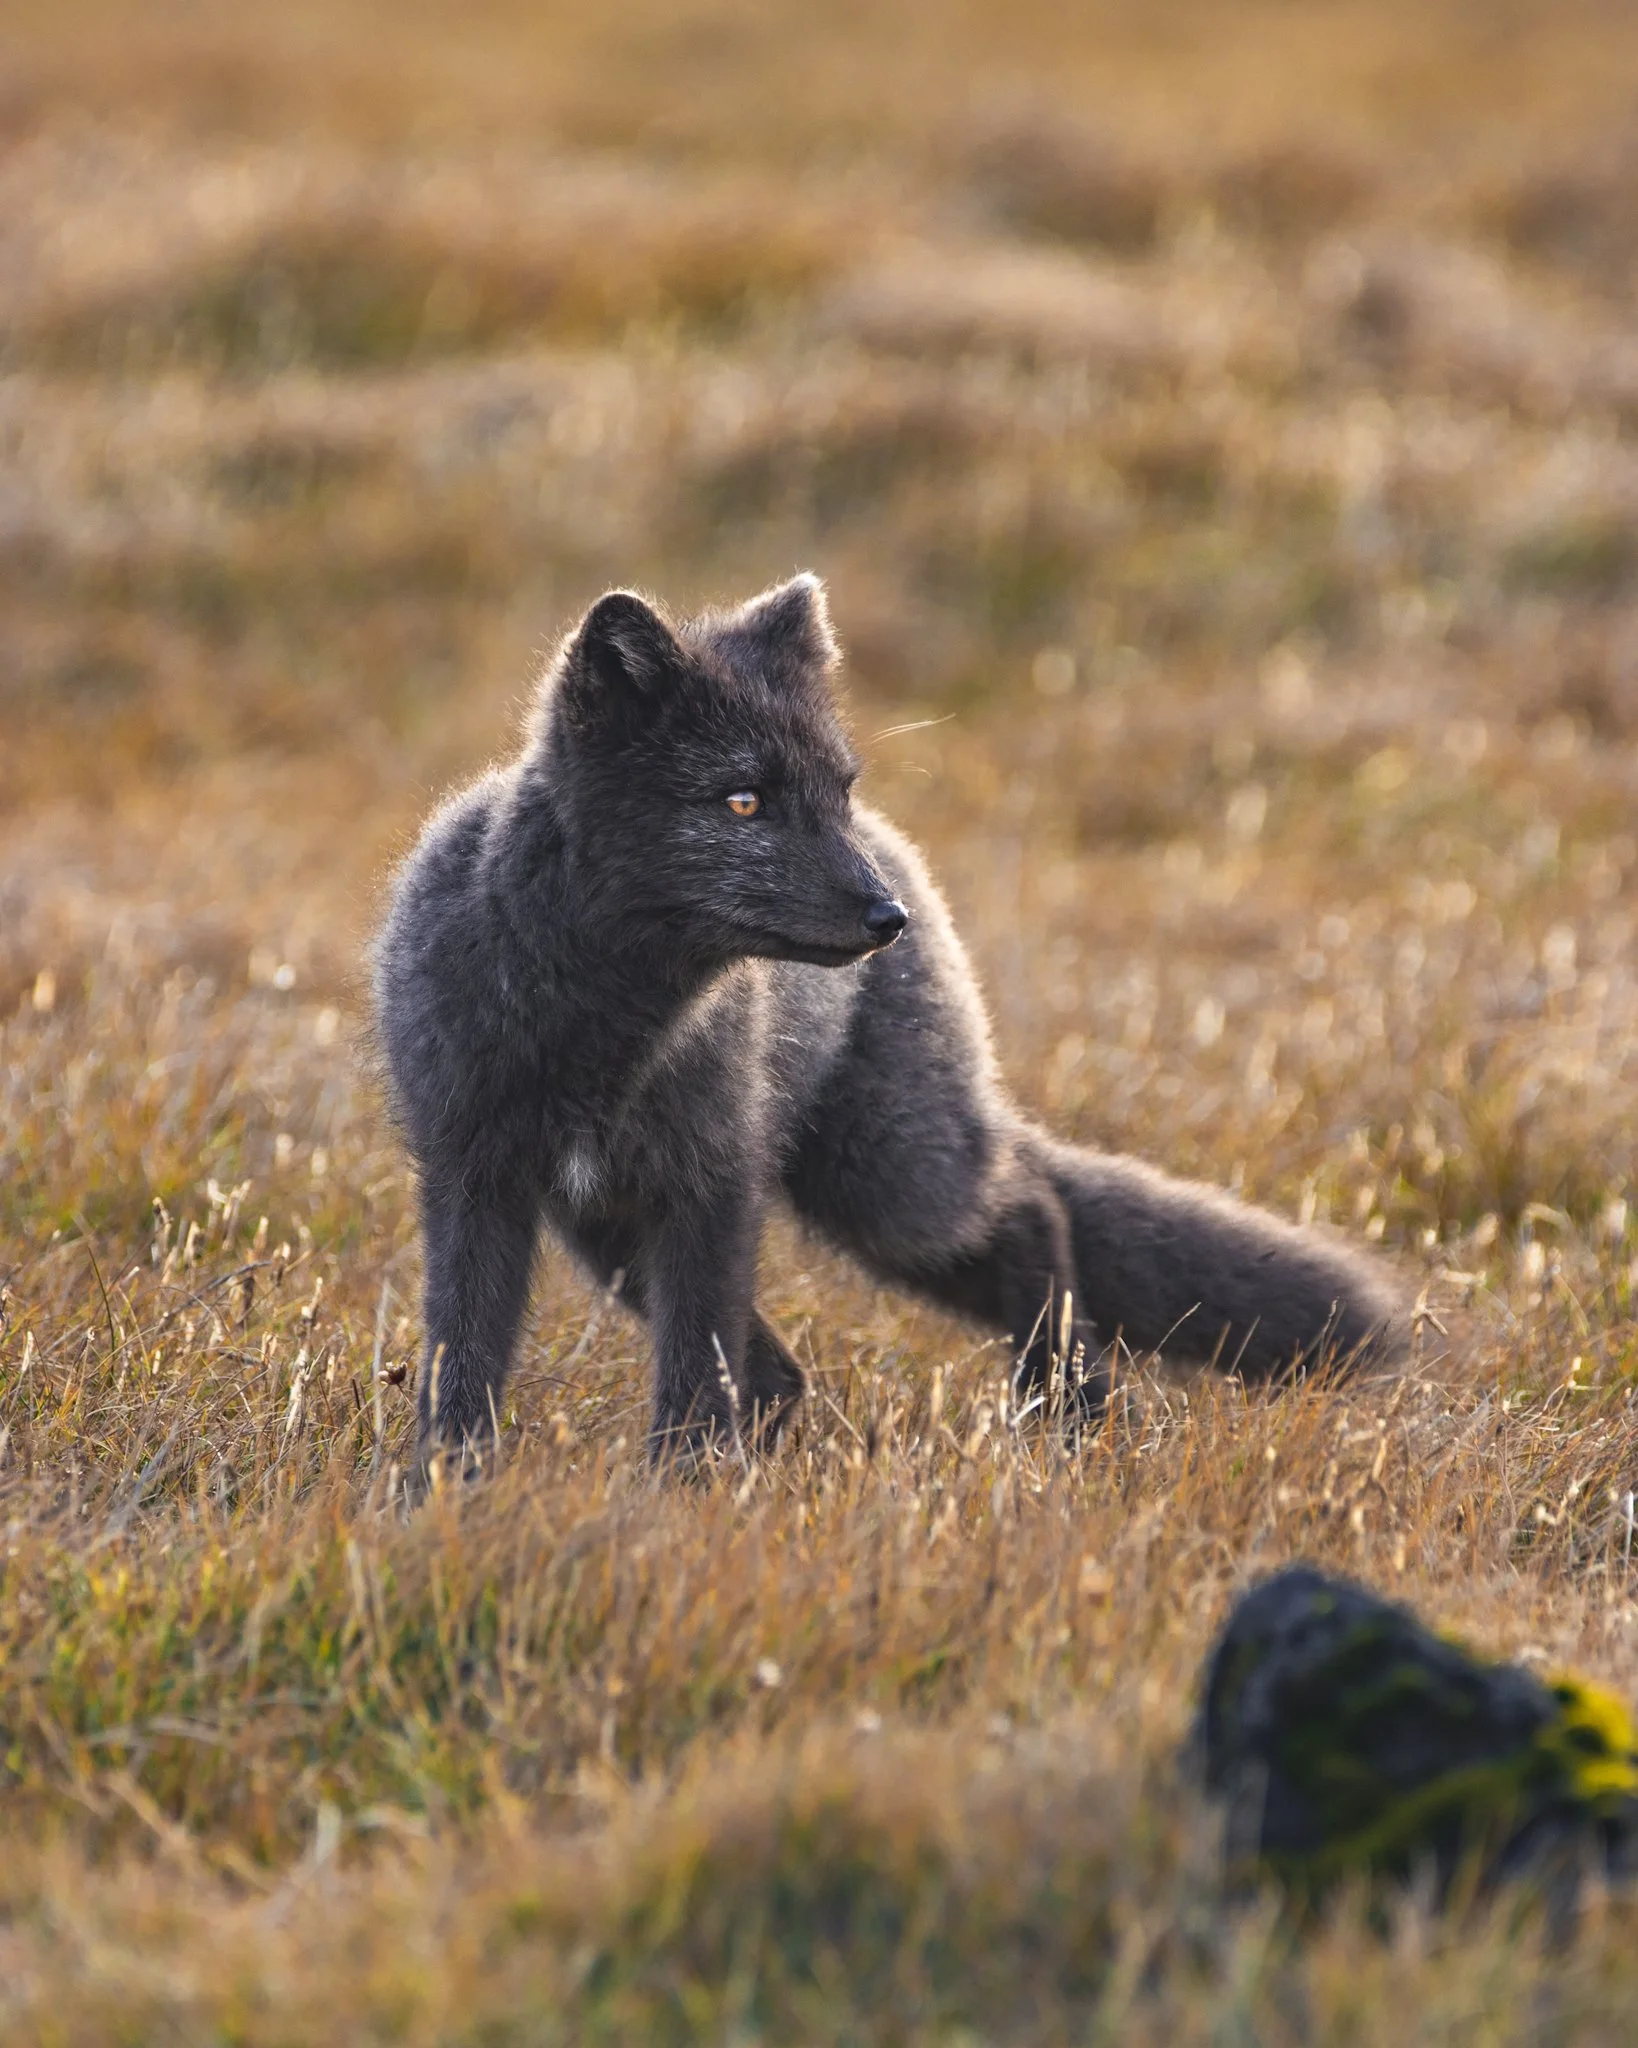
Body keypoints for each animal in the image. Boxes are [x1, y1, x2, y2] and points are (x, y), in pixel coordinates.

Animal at [373, 572, 1403, 1471]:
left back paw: (1067, 1415)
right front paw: (448, 1496)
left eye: (837, 788)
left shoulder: (713, 1184)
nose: (884, 920)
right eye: (743, 800)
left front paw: (673, 1499)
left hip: (892, 1188)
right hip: (622, 1232)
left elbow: (693, 1373)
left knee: (1033, 1200)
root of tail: (904, 855)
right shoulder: (476, 1180)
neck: (603, 1031)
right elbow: (464, 1363)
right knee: (781, 1373)